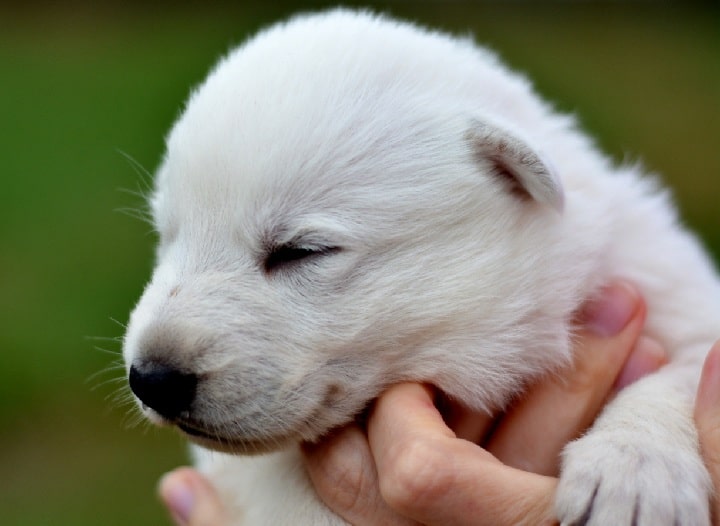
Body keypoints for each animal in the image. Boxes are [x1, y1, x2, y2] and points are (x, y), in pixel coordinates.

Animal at [122, 9, 720, 526]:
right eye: (166, 237)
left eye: (303, 250)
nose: (151, 380)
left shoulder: (665, 281)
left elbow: (679, 372)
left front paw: (635, 476)